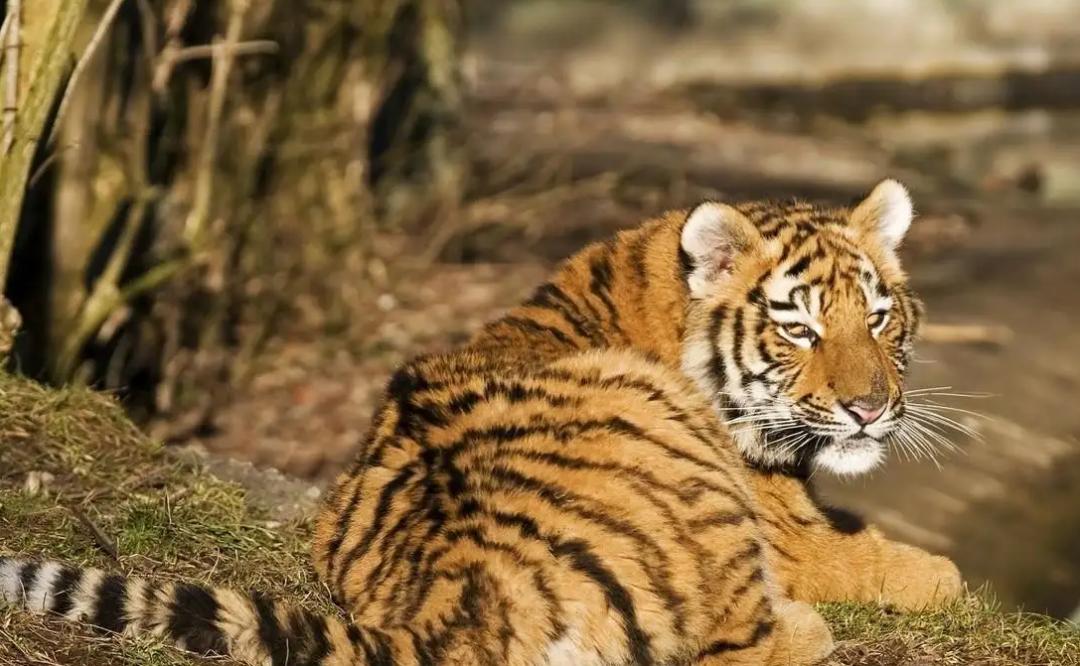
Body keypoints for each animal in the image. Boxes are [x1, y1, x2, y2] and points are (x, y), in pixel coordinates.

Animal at [1, 179, 963, 665]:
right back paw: (810, 631)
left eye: (878, 319)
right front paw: (943, 577)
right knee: (742, 644)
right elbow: (888, 561)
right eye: (800, 328)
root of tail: (470, 587)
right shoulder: (794, 534)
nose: (870, 408)